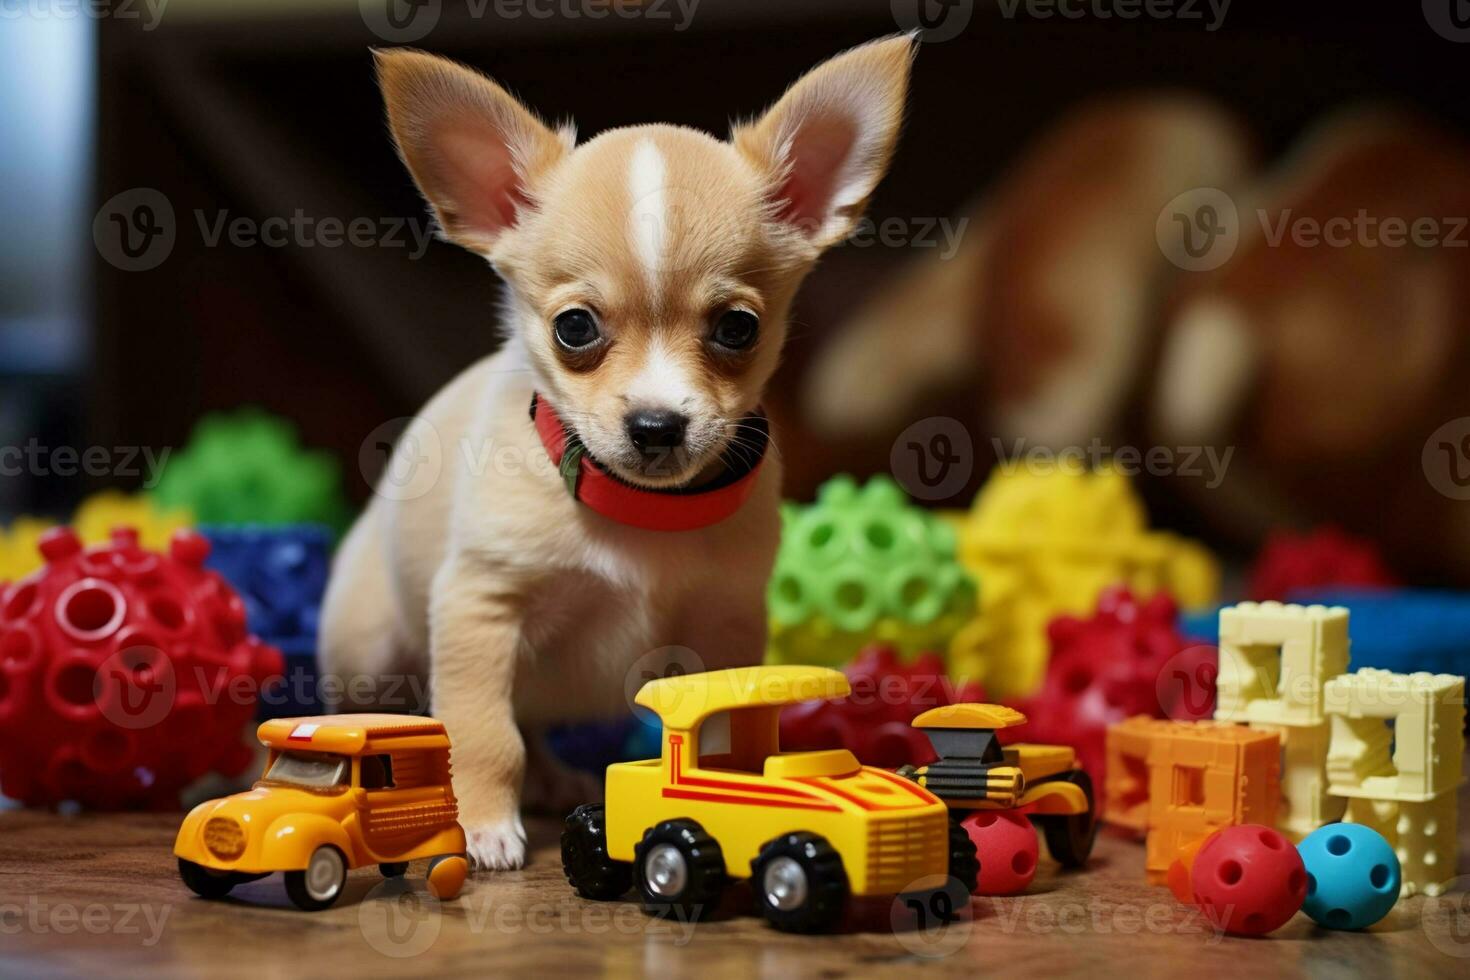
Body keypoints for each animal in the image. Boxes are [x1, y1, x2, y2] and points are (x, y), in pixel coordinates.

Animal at [321, 36, 917, 875]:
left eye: (737, 329)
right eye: (574, 328)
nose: (657, 424)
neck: (643, 515)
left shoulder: (726, 627)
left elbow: (726, 727)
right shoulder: (480, 607)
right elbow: (478, 731)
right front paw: (480, 826)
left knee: (534, 728)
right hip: (368, 651)